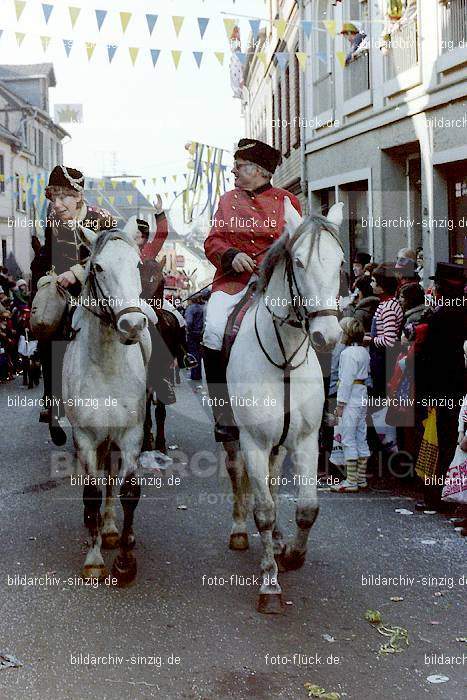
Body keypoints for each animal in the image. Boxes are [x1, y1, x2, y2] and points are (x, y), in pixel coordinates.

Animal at [61, 219, 157, 584]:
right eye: (98, 267)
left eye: (138, 265)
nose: (131, 324)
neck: (106, 365)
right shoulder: (86, 436)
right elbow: (90, 493)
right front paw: (94, 560)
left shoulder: (130, 433)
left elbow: (129, 490)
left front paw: (125, 562)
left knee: (113, 480)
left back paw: (114, 529)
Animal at [227, 198, 344, 612]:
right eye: (298, 261)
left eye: (341, 262)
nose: (328, 336)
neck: (284, 359)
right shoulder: (254, 441)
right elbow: (262, 509)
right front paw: (270, 583)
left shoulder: (307, 440)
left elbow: (307, 509)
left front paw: (293, 553)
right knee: (238, 475)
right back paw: (239, 531)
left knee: (275, 485)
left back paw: (279, 540)